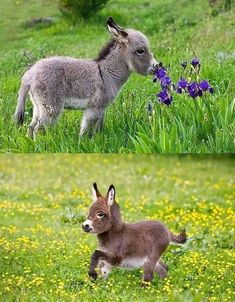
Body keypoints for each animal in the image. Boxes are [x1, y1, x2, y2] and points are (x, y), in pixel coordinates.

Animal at [15, 17, 160, 138]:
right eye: (140, 51)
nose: (158, 66)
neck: (106, 73)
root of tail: (29, 74)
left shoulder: (101, 109)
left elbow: (97, 129)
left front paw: (98, 140)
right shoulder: (94, 108)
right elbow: (86, 130)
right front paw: (83, 144)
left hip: (37, 106)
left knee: (31, 127)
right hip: (51, 106)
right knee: (39, 129)